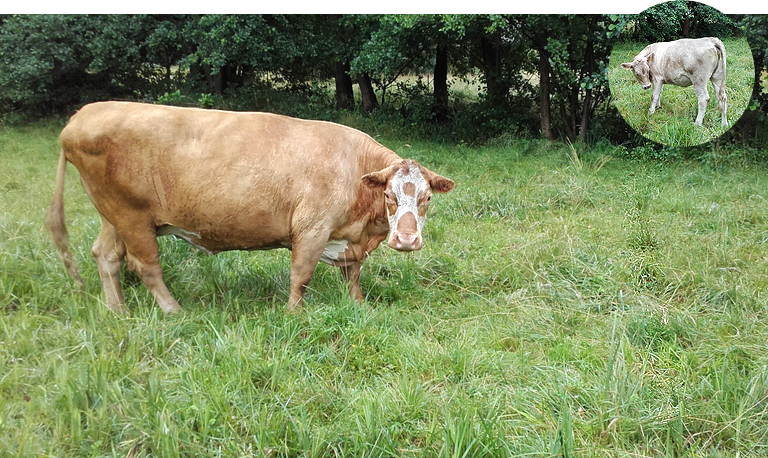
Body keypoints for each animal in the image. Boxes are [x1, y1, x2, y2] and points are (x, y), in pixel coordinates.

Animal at [46, 101, 456, 314]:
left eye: (427, 198)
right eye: (389, 196)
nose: (406, 240)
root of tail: (82, 115)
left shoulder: (347, 240)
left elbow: (352, 274)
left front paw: (357, 306)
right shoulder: (312, 229)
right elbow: (301, 276)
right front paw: (295, 314)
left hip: (113, 216)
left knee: (106, 256)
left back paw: (117, 310)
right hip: (131, 216)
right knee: (145, 266)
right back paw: (174, 312)